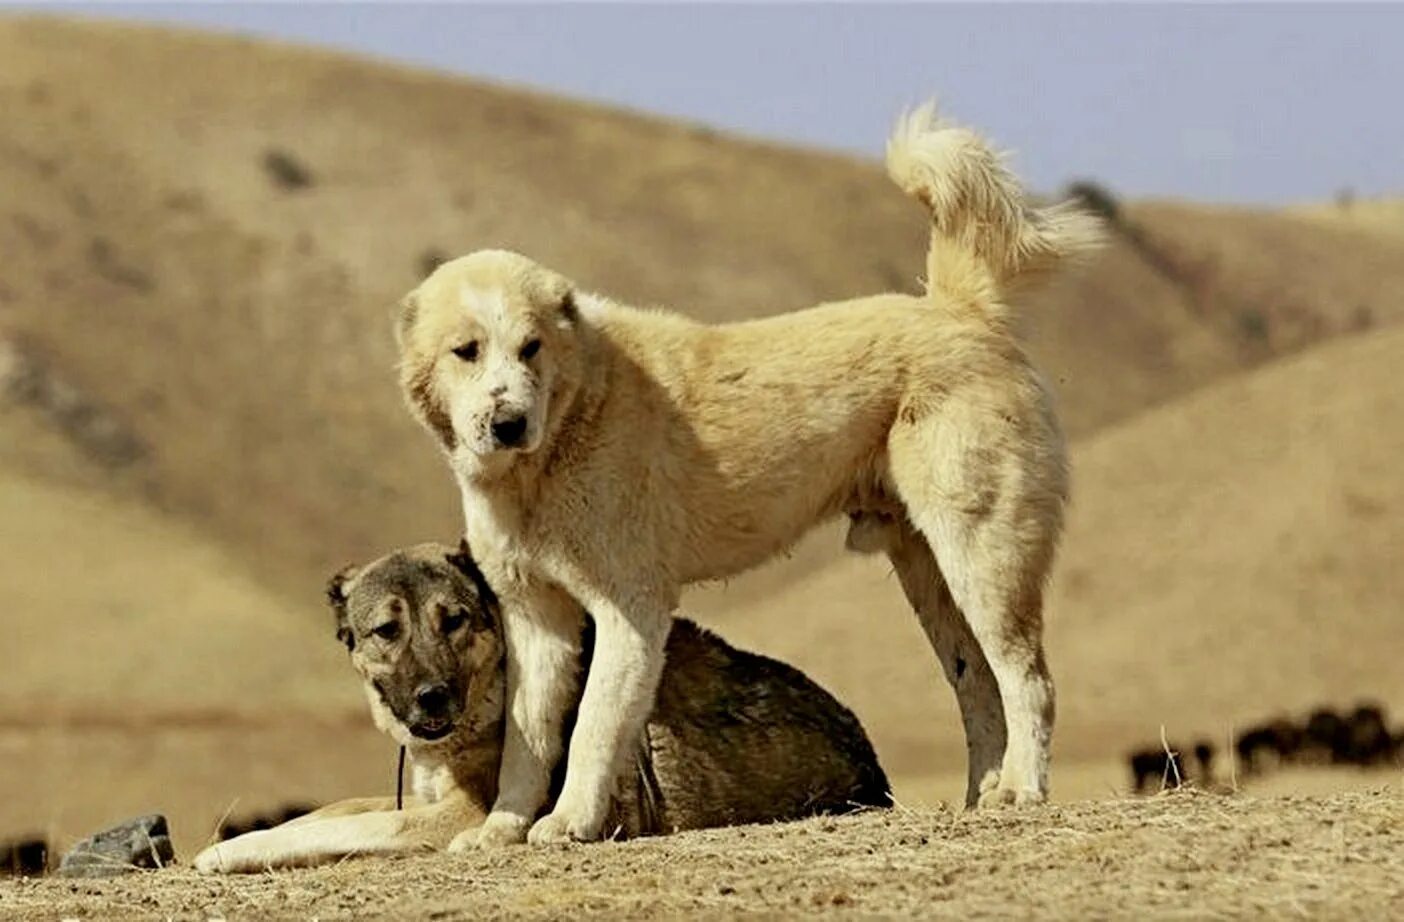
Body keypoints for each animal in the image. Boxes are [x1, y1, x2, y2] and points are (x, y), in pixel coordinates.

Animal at [195, 538, 887, 870]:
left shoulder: (459, 816)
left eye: (453, 621)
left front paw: (225, 853)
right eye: (387, 631)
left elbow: (351, 826)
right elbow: (330, 812)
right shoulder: (418, 796)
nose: (431, 696)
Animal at [393, 104, 1095, 847]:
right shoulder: (536, 618)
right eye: (466, 351)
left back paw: (1021, 790)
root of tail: (960, 309)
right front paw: (500, 829)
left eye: (530, 348)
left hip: (983, 553)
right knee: (977, 685)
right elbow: (528, 739)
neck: (564, 426)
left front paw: (569, 822)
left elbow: (592, 728)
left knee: (1028, 679)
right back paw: (980, 797)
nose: (508, 422)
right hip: (929, 571)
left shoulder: (629, 610)